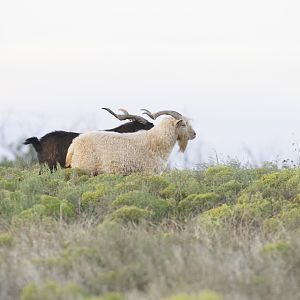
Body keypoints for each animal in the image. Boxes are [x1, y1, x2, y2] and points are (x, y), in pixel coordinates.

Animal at [65, 110, 197, 176]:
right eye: (183, 124)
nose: (194, 134)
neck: (155, 141)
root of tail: (74, 145)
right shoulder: (150, 172)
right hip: (84, 169)